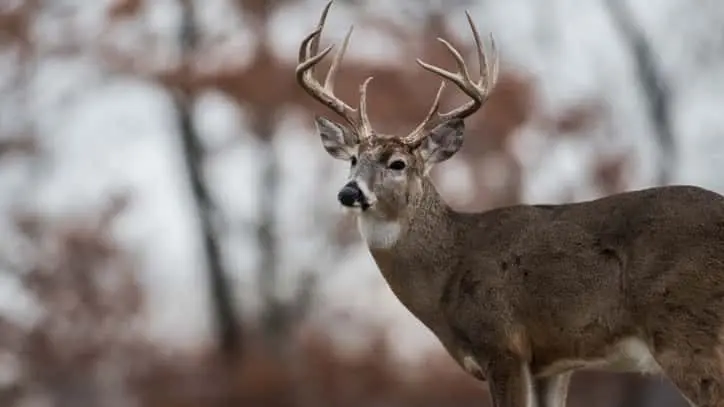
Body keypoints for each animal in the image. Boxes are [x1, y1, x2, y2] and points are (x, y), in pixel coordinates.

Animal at [296, 2, 724, 406]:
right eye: (353, 159)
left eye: (397, 163)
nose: (349, 193)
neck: (450, 266)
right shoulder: (554, 362)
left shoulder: (502, 344)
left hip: (686, 330)